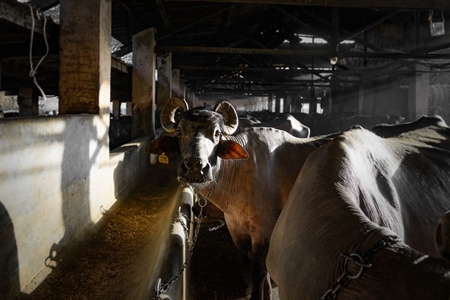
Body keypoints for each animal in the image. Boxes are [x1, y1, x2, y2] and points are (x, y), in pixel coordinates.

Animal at [146, 97, 336, 298]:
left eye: (217, 133)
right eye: (179, 132)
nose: (196, 167)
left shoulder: (263, 233)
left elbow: (259, 272)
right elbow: (264, 274)